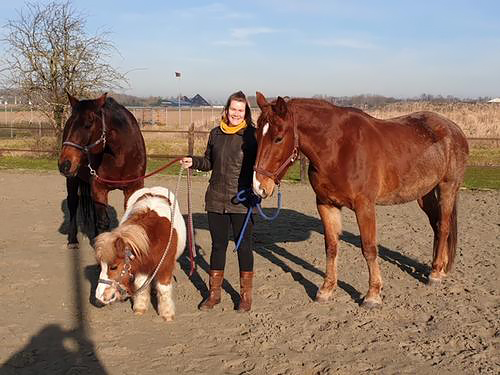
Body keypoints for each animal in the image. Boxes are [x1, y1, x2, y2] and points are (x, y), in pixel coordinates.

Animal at [58, 92, 146, 248]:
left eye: (88, 124)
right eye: (70, 125)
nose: (64, 164)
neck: (119, 156)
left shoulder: (133, 187)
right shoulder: (99, 188)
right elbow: (103, 222)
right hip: (72, 179)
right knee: (73, 203)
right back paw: (73, 240)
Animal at [92, 187, 186, 322]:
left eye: (113, 267)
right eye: (101, 265)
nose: (99, 297)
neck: (154, 238)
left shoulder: (165, 266)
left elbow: (163, 289)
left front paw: (167, 314)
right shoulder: (141, 267)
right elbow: (141, 285)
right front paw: (140, 308)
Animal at [254, 92, 468, 308]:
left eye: (278, 138)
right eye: (256, 135)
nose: (259, 187)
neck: (338, 149)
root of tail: (453, 128)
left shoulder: (364, 206)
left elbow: (369, 248)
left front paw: (373, 294)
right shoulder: (326, 204)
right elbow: (331, 247)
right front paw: (326, 289)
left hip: (447, 186)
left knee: (443, 227)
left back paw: (435, 273)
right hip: (424, 193)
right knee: (437, 225)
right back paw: (439, 267)